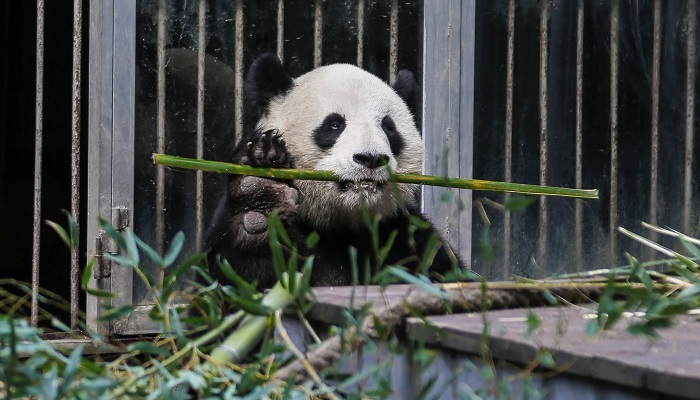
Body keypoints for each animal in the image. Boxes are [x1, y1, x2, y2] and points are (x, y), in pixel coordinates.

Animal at [202, 54, 464, 290]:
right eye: (334, 125)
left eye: (389, 128)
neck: (340, 224)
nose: (370, 158)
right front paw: (260, 196)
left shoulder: (405, 237)